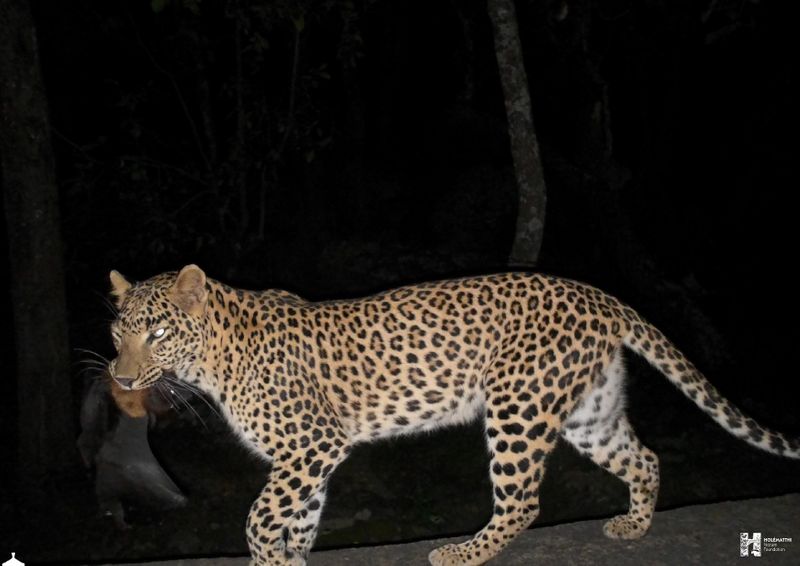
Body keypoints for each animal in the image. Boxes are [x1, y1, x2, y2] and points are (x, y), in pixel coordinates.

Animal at [108, 268, 800, 566]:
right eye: (118, 332)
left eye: (159, 332)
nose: (119, 378)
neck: (211, 360)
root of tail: (597, 294)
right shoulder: (308, 458)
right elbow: (298, 517)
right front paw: (293, 559)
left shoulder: (313, 444)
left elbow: (259, 517)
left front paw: (269, 561)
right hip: (590, 411)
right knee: (645, 456)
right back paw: (633, 527)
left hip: (518, 407)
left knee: (523, 502)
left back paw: (463, 553)